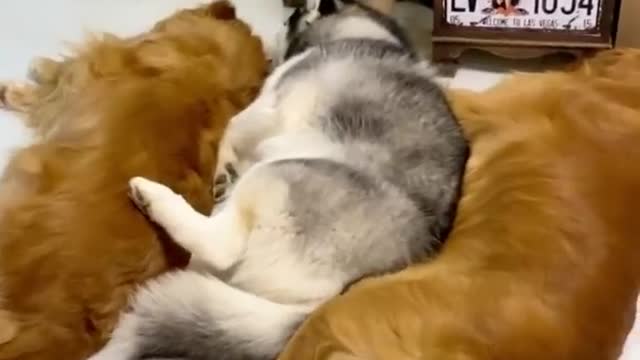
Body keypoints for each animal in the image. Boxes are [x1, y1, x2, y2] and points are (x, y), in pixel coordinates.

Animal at [90, 1, 468, 358]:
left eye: (291, 17)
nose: (277, 30)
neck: (367, 32)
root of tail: (337, 291)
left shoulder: (270, 104)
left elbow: (233, 124)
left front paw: (224, 161)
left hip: (276, 174)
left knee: (220, 246)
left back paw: (154, 197)